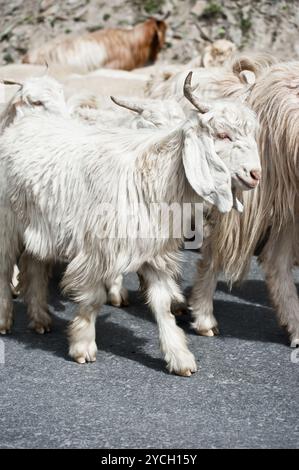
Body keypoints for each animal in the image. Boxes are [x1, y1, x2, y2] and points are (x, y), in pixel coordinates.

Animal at [0, 73, 262, 374]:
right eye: (222, 135)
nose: (255, 174)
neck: (150, 176)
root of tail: (23, 125)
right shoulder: (96, 250)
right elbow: (92, 299)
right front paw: (83, 346)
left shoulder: (154, 251)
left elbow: (162, 304)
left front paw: (179, 356)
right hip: (7, 224)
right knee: (5, 268)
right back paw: (5, 320)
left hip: (40, 228)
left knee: (35, 266)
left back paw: (40, 318)